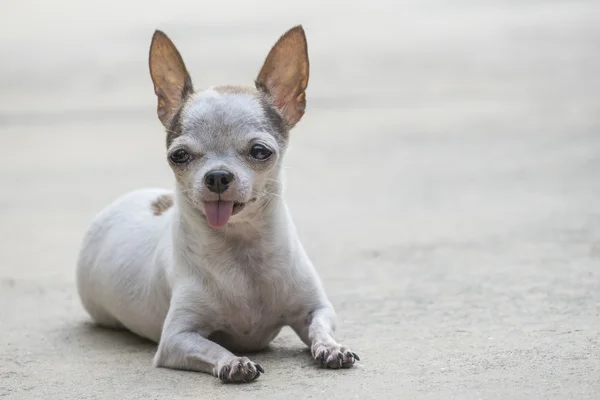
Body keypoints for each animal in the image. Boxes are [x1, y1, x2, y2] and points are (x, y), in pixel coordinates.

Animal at [74, 25, 356, 384]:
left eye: (260, 151)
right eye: (179, 156)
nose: (218, 176)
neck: (241, 252)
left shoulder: (315, 310)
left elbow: (321, 327)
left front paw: (332, 347)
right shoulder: (177, 338)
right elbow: (212, 347)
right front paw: (233, 362)